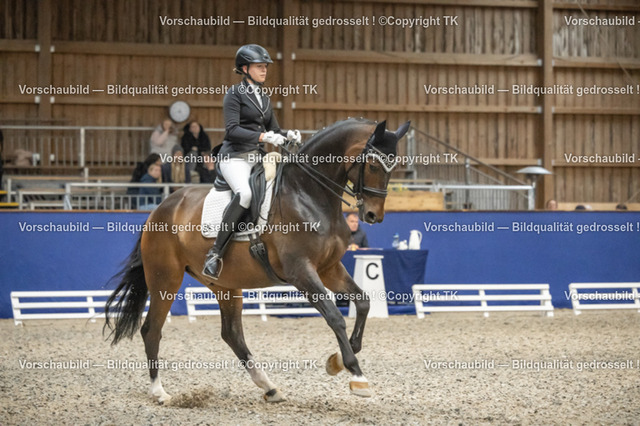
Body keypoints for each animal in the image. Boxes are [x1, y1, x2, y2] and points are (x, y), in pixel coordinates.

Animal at [104, 118, 411, 404]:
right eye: (373, 165)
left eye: (393, 165)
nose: (373, 215)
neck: (308, 194)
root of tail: (159, 209)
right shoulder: (302, 272)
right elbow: (335, 317)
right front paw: (356, 376)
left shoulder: (329, 269)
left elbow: (363, 302)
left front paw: (335, 362)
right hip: (165, 279)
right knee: (151, 329)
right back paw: (159, 392)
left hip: (225, 284)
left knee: (232, 335)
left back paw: (270, 388)